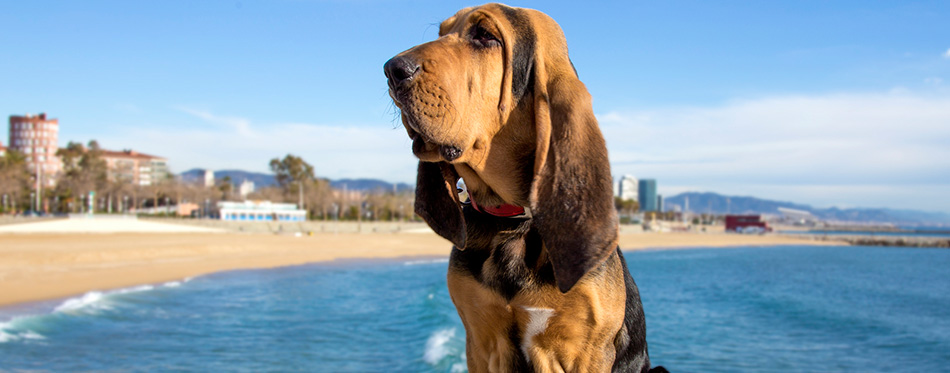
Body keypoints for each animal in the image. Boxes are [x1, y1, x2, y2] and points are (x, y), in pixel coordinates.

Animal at [384, 3, 664, 372]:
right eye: (442, 33)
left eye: (485, 36)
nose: (392, 70)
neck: (514, 220)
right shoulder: (480, 342)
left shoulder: (588, 350)